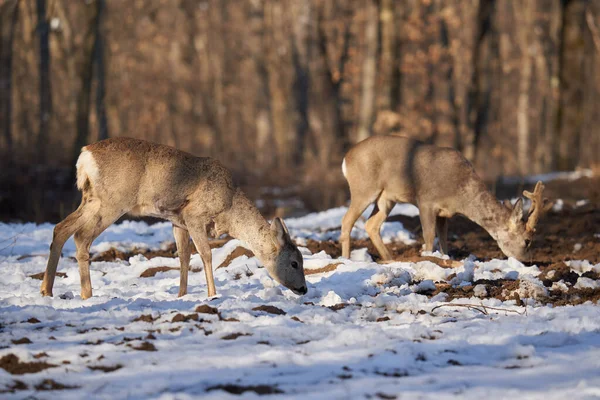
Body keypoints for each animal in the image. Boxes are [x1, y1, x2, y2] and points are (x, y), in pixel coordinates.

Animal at [39, 139, 308, 298]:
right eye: (295, 262)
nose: (304, 289)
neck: (229, 208)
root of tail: (85, 155)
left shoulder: (177, 221)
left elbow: (183, 257)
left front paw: (182, 295)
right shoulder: (194, 214)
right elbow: (206, 255)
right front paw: (212, 294)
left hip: (91, 198)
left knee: (61, 228)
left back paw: (46, 290)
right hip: (113, 200)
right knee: (81, 236)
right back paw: (86, 294)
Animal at [340, 137, 552, 262]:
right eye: (527, 240)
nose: (527, 261)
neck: (460, 193)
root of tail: (346, 158)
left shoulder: (445, 213)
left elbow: (443, 239)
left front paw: (444, 258)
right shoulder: (425, 201)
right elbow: (428, 236)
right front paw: (428, 257)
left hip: (386, 198)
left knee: (371, 224)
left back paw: (389, 259)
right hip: (363, 188)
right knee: (347, 220)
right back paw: (346, 259)